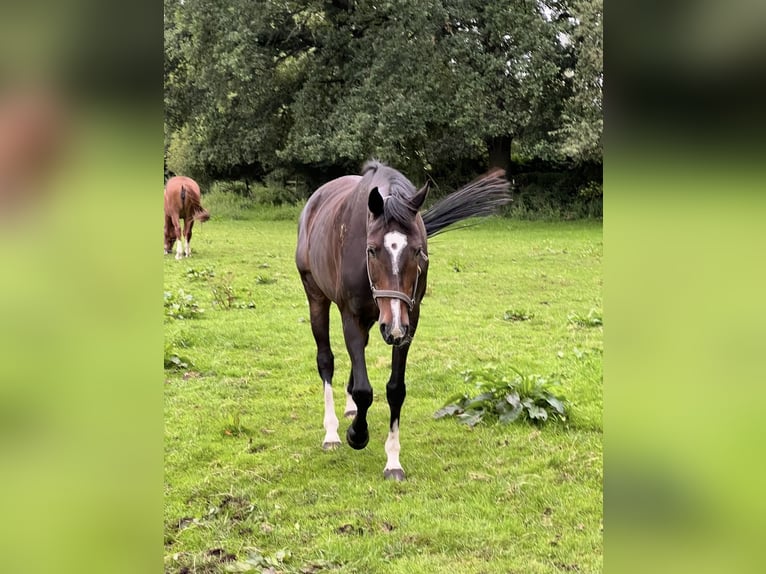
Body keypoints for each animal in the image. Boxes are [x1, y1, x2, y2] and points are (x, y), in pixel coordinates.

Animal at [296, 160, 510, 480]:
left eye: (418, 250)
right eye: (371, 250)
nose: (394, 326)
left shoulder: (409, 321)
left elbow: (395, 389)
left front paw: (393, 460)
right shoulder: (353, 315)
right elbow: (364, 389)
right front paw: (356, 435)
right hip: (317, 298)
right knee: (326, 360)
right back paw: (332, 432)